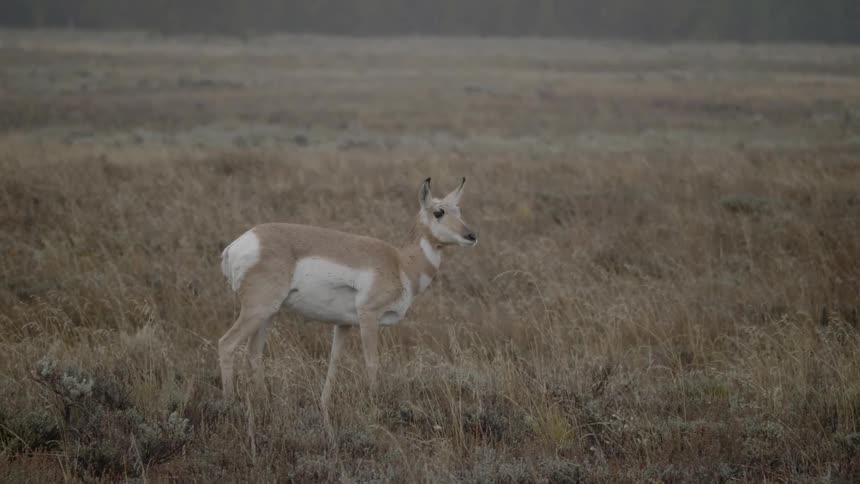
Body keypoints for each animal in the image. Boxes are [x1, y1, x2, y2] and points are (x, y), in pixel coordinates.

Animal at [218, 177, 477, 432]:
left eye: (459, 210)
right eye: (438, 212)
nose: (471, 236)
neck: (401, 263)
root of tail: (237, 245)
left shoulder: (343, 325)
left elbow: (334, 362)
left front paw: (324, 411)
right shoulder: (369, 318)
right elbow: (372, 363)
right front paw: (374, 411)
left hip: (268, 314)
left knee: (253, 353)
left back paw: (266, 405)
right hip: (256, 311)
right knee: (226, 344)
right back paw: (230, 407)